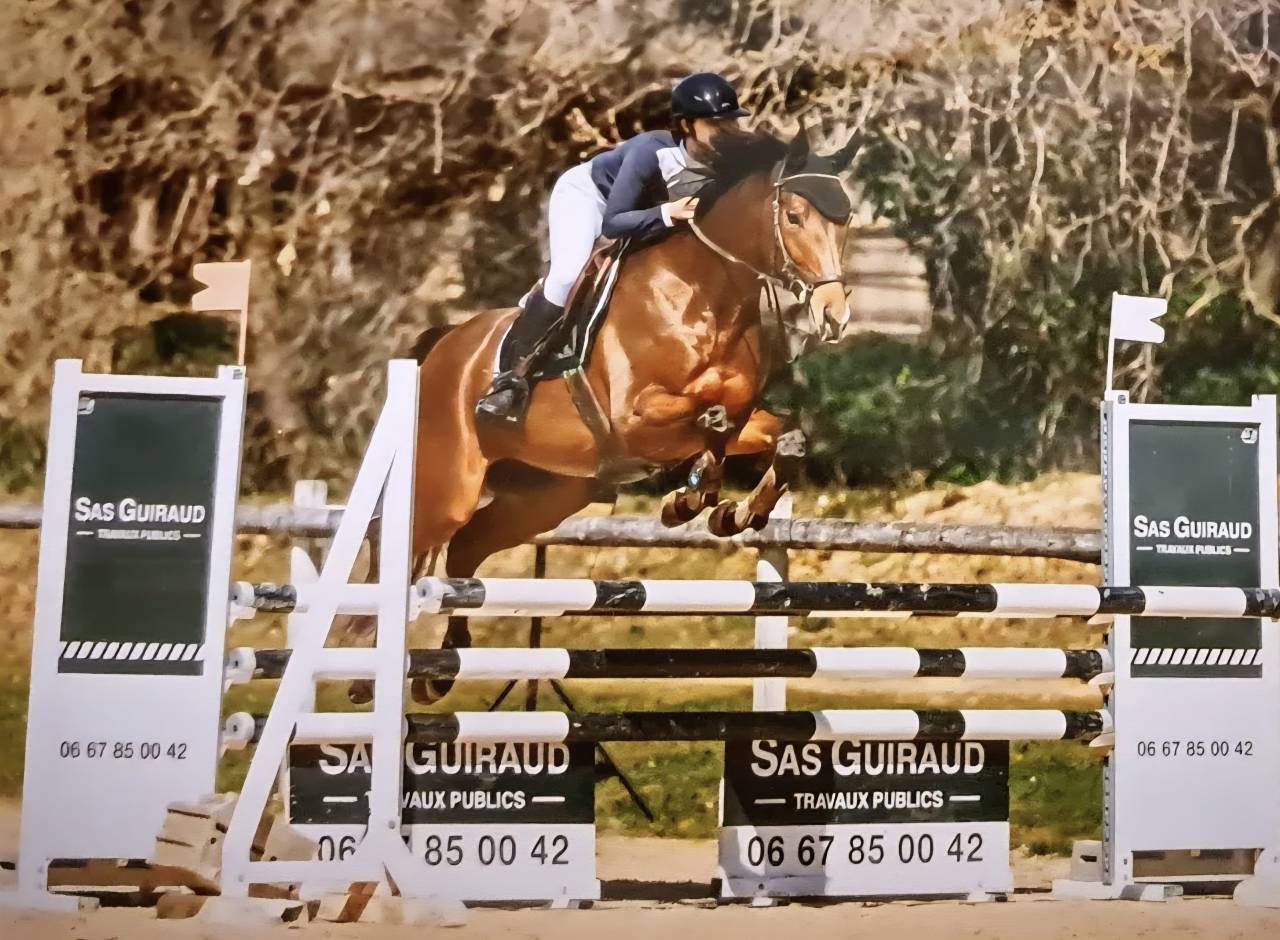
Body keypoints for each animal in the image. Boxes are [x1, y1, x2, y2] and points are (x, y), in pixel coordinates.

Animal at [362, 127, 858, 703]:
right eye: (794, 216)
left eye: (845, 219)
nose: (834, 315)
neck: (703, 297)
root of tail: (442, 348)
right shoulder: (635, 421)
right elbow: (710, 422)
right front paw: (689, 500)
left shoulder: (738, 413)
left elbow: (777, 436)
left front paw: (732, 513)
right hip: (447, 488)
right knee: (395, 547)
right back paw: (365, 677)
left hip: (543, 496)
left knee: (465, 549)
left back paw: (437, 671)